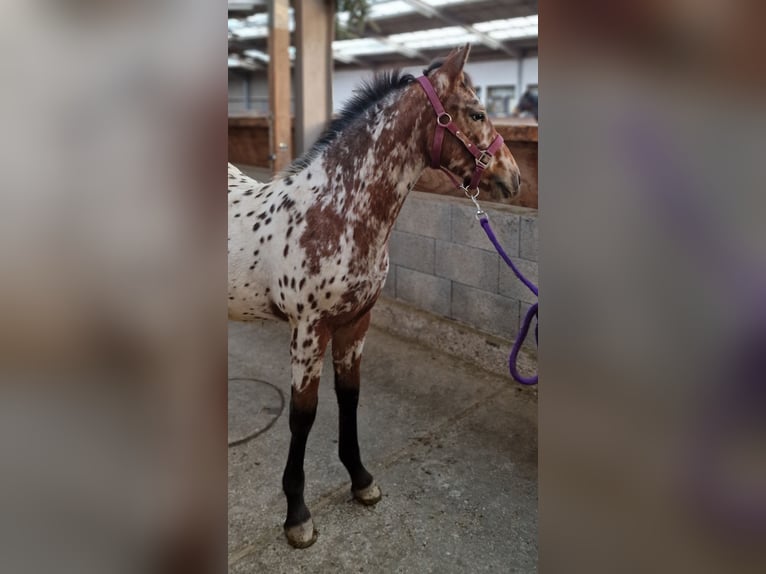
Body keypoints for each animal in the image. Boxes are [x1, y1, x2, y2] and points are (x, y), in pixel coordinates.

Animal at [225, 44, 520, 548]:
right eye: (477, 112)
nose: (515, 177)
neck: (334, 212)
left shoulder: (356, 323)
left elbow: (350, 397)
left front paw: (361, 480)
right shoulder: (308, 331)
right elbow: (303, 415)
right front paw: (297, 515)